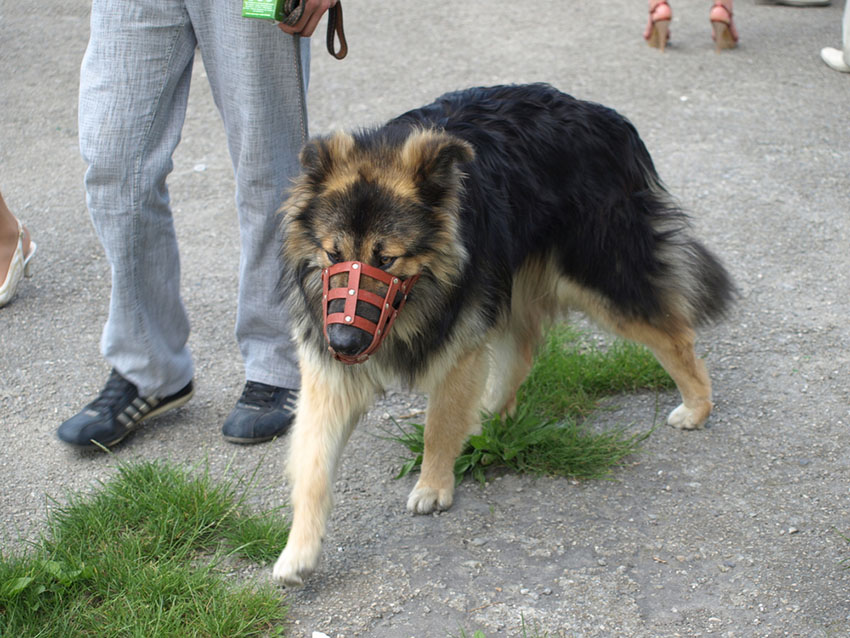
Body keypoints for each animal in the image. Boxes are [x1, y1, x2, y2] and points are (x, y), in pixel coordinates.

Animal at [270, 85, 728, 592]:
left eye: (386, 259)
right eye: (333, 254)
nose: (345, 344)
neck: (417, 296)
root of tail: (603, 117)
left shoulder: (458, 348)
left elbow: (437, 426)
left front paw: (433, 486)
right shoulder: (329, 375)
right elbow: (313, 465)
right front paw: (299, 552)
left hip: (597, 275)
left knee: (674, 333)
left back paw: (697, 406)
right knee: (521, 351)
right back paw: (488, 417)